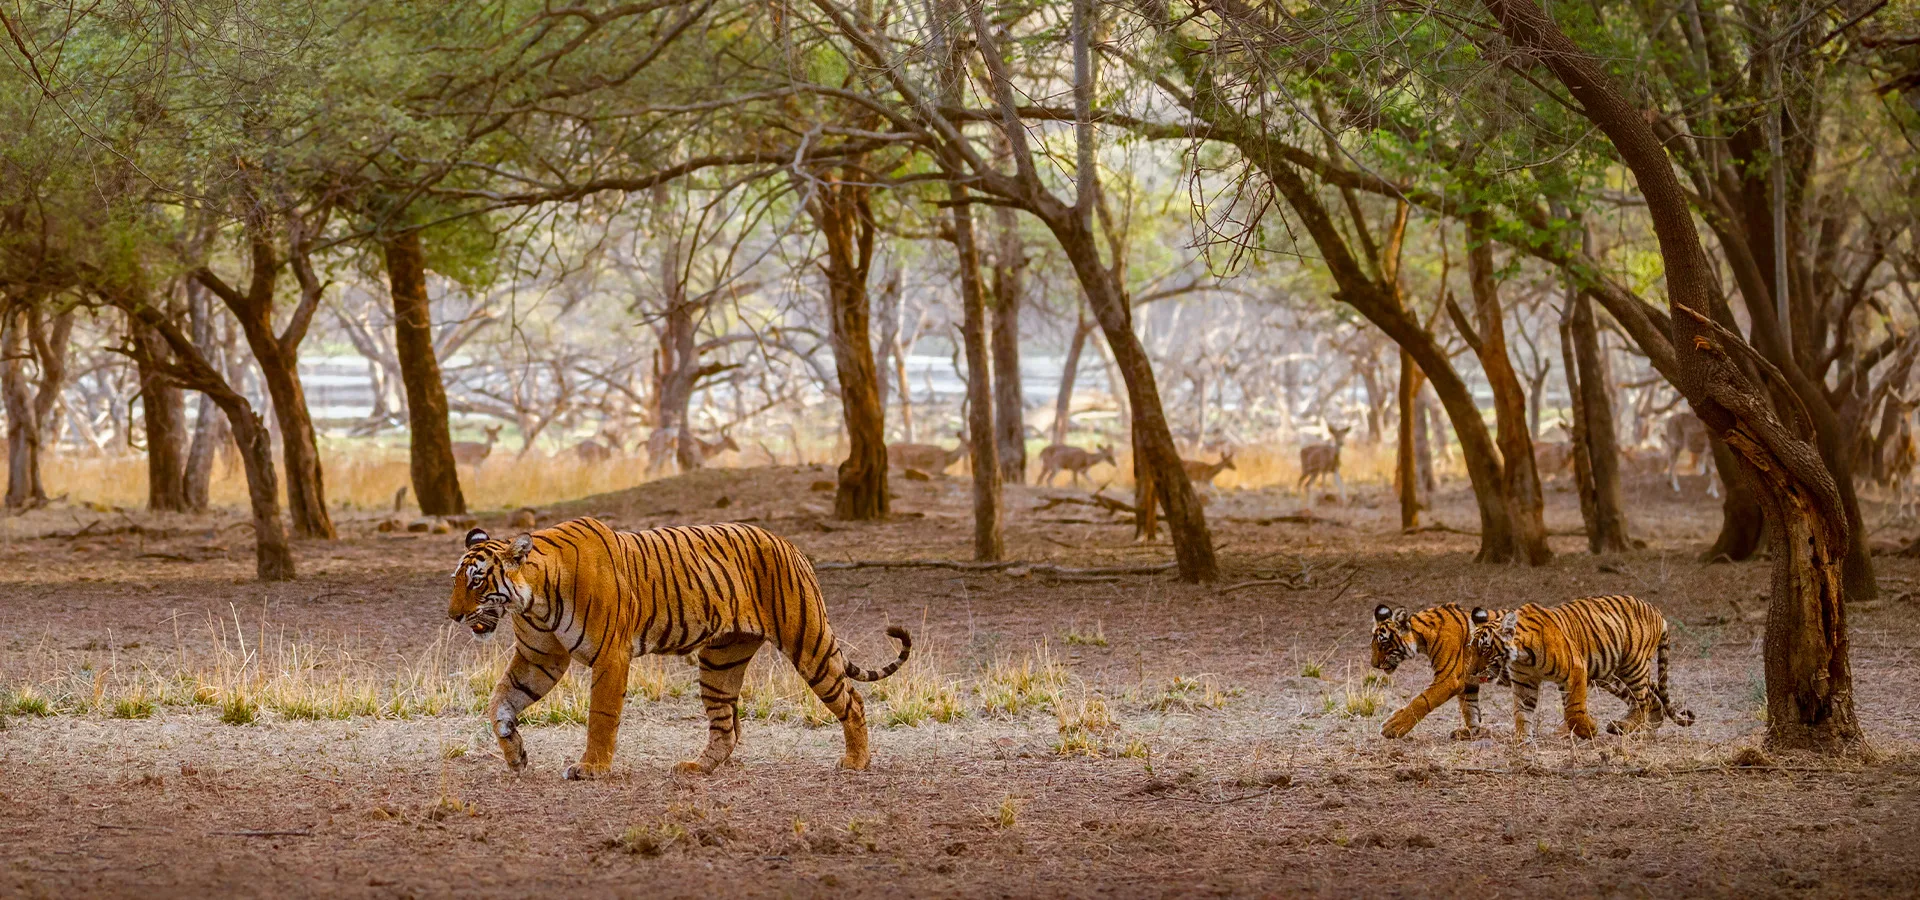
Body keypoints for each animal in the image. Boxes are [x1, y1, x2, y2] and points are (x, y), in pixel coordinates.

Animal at [448, 517, 911, 779]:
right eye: (458, 580)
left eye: (476, 581)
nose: (452, 615)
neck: (534, 600)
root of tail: (788, 542)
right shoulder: (539, 658)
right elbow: (500, 701)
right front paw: (514, 754)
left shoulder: (610, 655)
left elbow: (600, 716)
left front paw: (592, 768)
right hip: (720, 660)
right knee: (726, 727)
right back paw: (696, 769)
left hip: (808, 642)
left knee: (852, 700)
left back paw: (856, 762)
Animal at [1370, 603, 1505, 740]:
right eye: (1373, 645)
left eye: (1384, 644)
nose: (1373, 665)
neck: (1421, 639)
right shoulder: (1468, 680)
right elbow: (1469, 707)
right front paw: (1470, 731)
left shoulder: (1449, 679)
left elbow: (1421, 700)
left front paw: (1394, 726)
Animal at [1468, 596, 1695, 741]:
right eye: (1471, 648)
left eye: (1485, 649)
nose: (1471, 672)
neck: (1522, 656)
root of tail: (1657, 611)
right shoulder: (1524, 682)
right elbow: (1521, 713)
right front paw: (1522, 740)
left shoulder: (1575, 670)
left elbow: (1572, 710)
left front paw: (1589, 730)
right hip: (1611, 675)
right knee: (1652, 698)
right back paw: (1643, 731)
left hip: (1632, 666)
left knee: (1643, 700)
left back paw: (1622, 726)